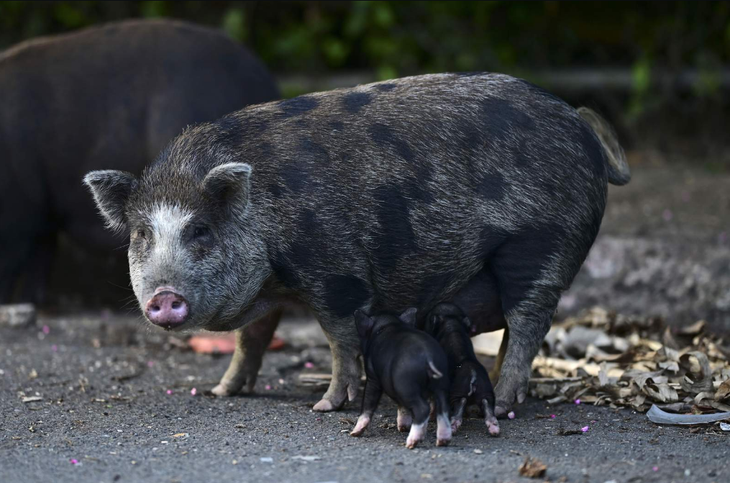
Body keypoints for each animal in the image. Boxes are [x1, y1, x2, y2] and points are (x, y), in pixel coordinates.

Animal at [85, 72, 628, 416]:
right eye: (141, 233)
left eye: (199, 229)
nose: (164, 298)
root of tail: (580, 124)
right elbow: (252, 339)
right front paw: (221, 393)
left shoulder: (336, 271)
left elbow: (340, 340)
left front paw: (324, 405)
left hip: (540, 245)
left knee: (529, 321)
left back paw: (509, 399)